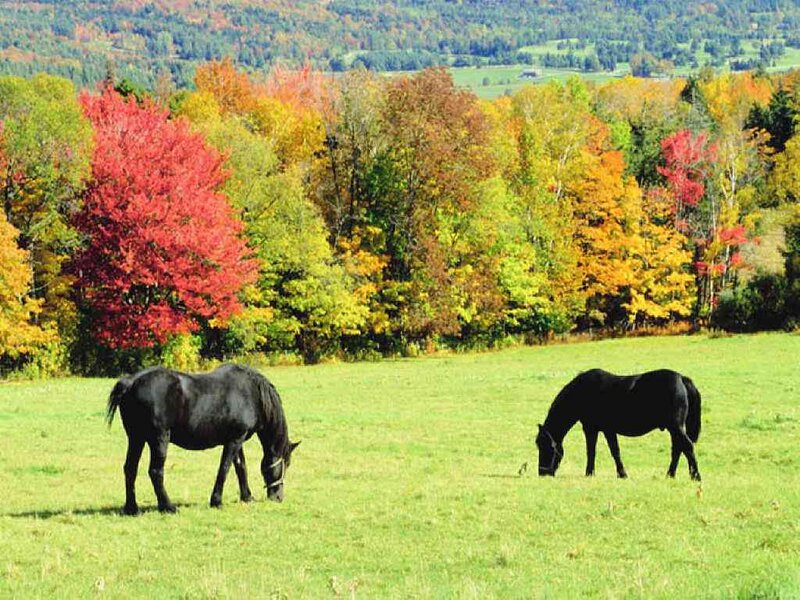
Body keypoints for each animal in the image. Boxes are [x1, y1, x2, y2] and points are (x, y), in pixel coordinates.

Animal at [106, 363, 300, 515]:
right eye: (286, 464)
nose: (278, 497)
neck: (251, 393)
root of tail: (131, 382)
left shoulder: (238, 439)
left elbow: (240, 467)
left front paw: (247, 497)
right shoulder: (234, 440)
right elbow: (224, 469)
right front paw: (216, 501)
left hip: (136, 438)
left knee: (130, 469)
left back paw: (132, 508)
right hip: (159, 439)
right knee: (155, 471)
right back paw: (168, 507)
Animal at [535, 368, 701, 480]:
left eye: (546, 447)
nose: (542, 473)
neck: (582, 391)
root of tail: (682, 379)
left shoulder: (593, 428)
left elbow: (599, 451)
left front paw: (593, 473)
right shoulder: (603, 430)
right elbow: (608, 451)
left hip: (675, 426)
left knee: (687, 446)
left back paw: (695, 476)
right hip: (673, 428)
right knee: (678, 449)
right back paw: (670, 475)